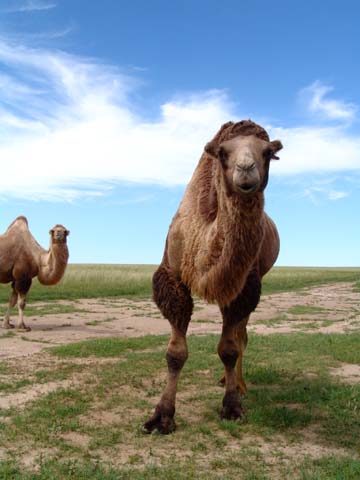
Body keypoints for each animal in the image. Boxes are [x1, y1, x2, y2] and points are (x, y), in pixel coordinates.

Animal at [145, 121, 282, 436]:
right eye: (222, 152)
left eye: (267, 152)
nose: (245, 169)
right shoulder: (173, 277)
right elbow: (175, 353)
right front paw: (161, 417)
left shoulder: (243, 285)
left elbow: (229, 349)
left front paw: (232, 406)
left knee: (242, 336)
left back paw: (238, 384)